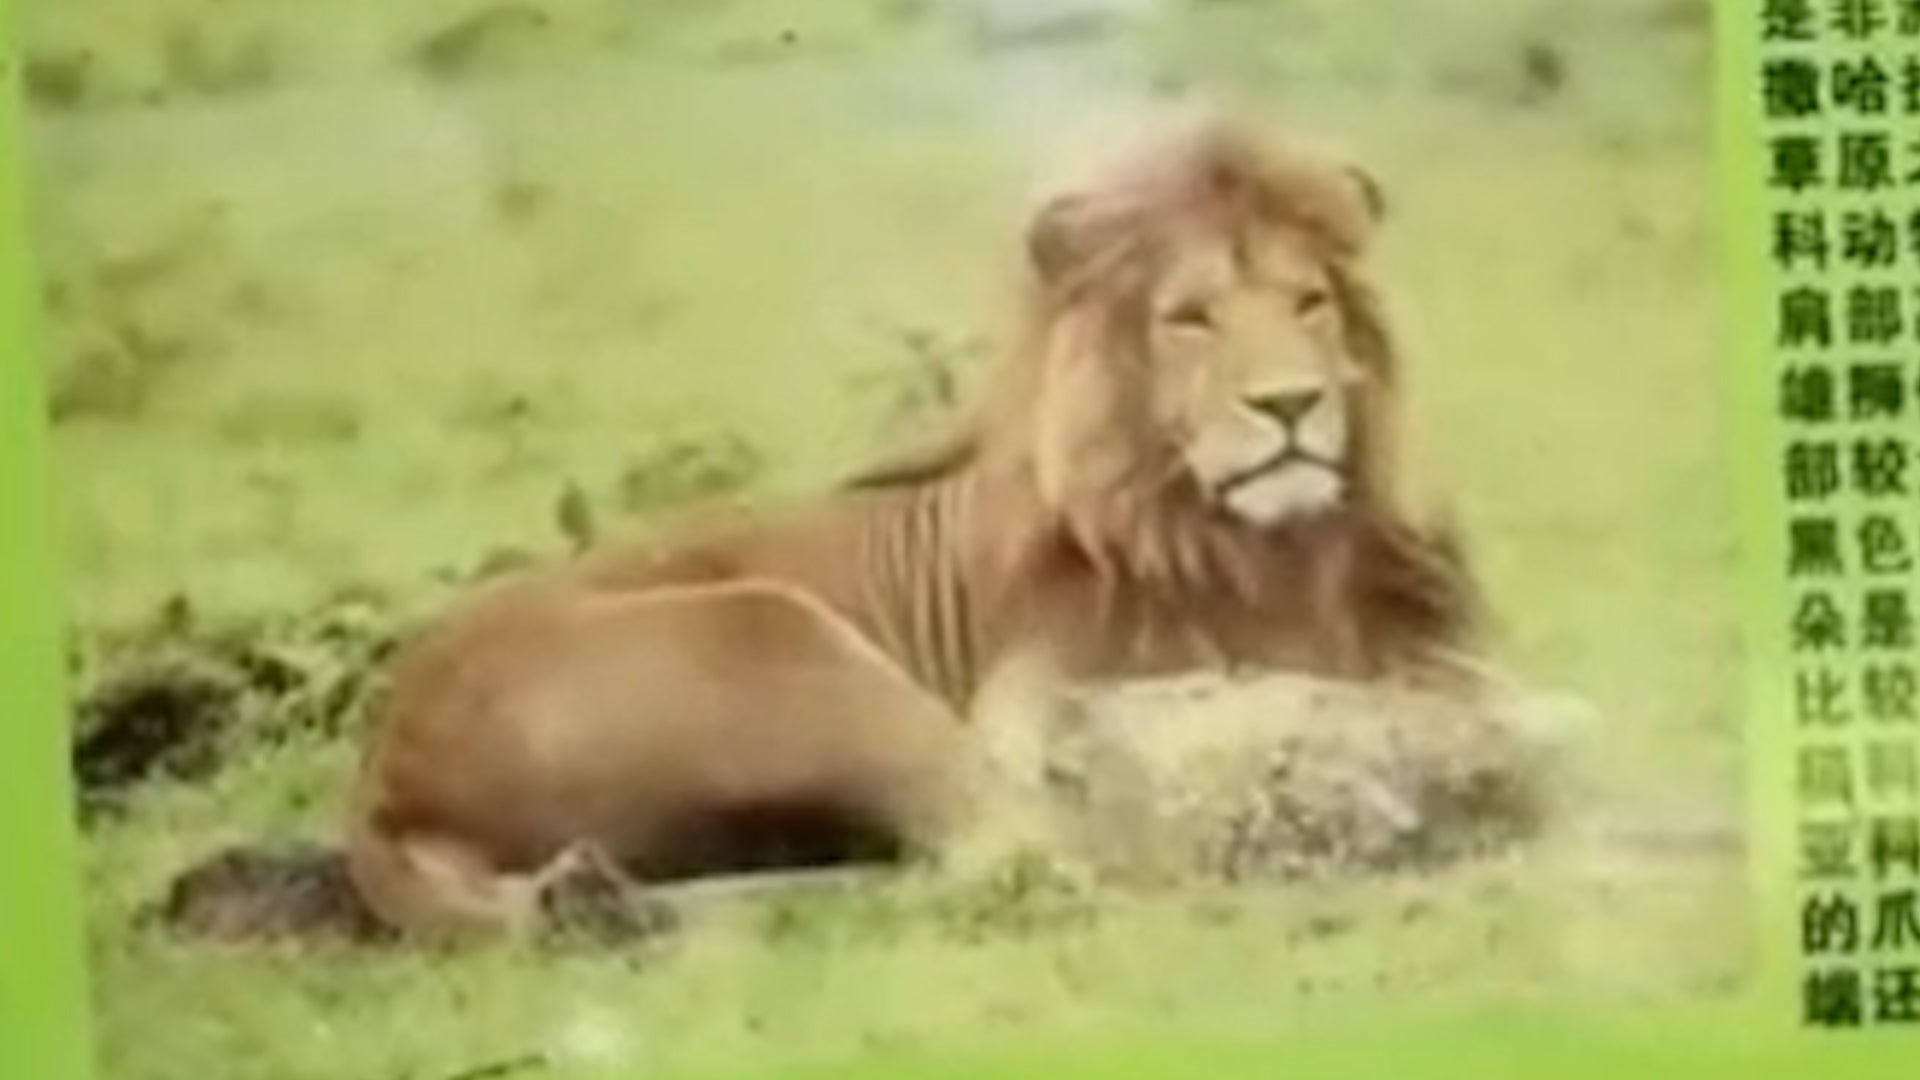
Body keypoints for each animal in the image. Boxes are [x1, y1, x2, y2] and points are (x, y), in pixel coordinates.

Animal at [165, 115, 1482, 941]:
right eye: (1191, 319)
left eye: (1310, 302)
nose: (1291, 406)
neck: (1280, 550)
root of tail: (382, 766)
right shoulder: (1039, 702)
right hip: (775, 633)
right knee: (1013, 856)